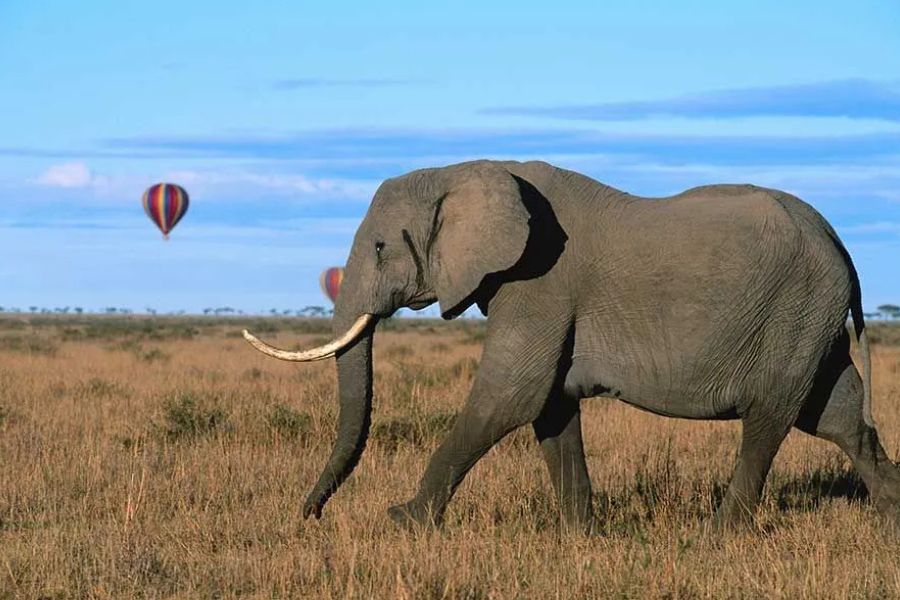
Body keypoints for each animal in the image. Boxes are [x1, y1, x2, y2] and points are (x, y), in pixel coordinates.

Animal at [244, 159, 900, 533]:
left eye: (380, 247)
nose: (310, 518)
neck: (465, 169)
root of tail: (840, 242)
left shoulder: (540, 278)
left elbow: (511, 394)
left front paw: (403, 523)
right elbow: (550, 405)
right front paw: (581, 536)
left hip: (793, 308)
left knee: (770, 417)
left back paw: (720, 533)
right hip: (808, 316)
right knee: (837, 414)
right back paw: (890, 518)